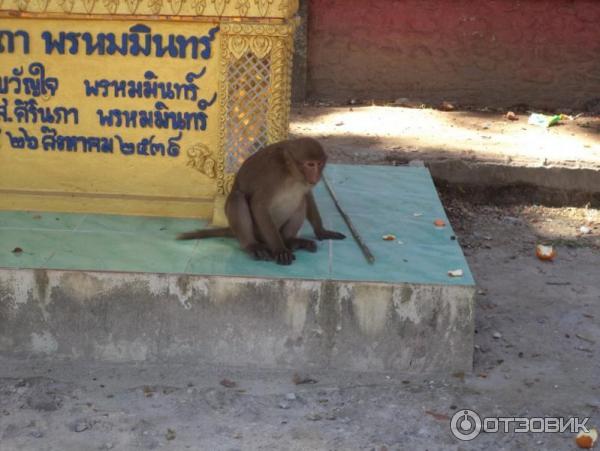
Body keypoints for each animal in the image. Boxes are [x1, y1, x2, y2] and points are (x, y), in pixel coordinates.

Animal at [178, 138, 344, 264]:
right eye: (310, 164)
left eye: (319, 163)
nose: (316, 175)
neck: (291, 173)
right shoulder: (274, 175)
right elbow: (259, 205)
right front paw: (279, 249)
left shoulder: (304, 182)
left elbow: (307, 196)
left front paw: (321, 231)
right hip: (259, 232)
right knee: (238, 198)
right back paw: (253, 245)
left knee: (301, 201)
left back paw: (290, 240)